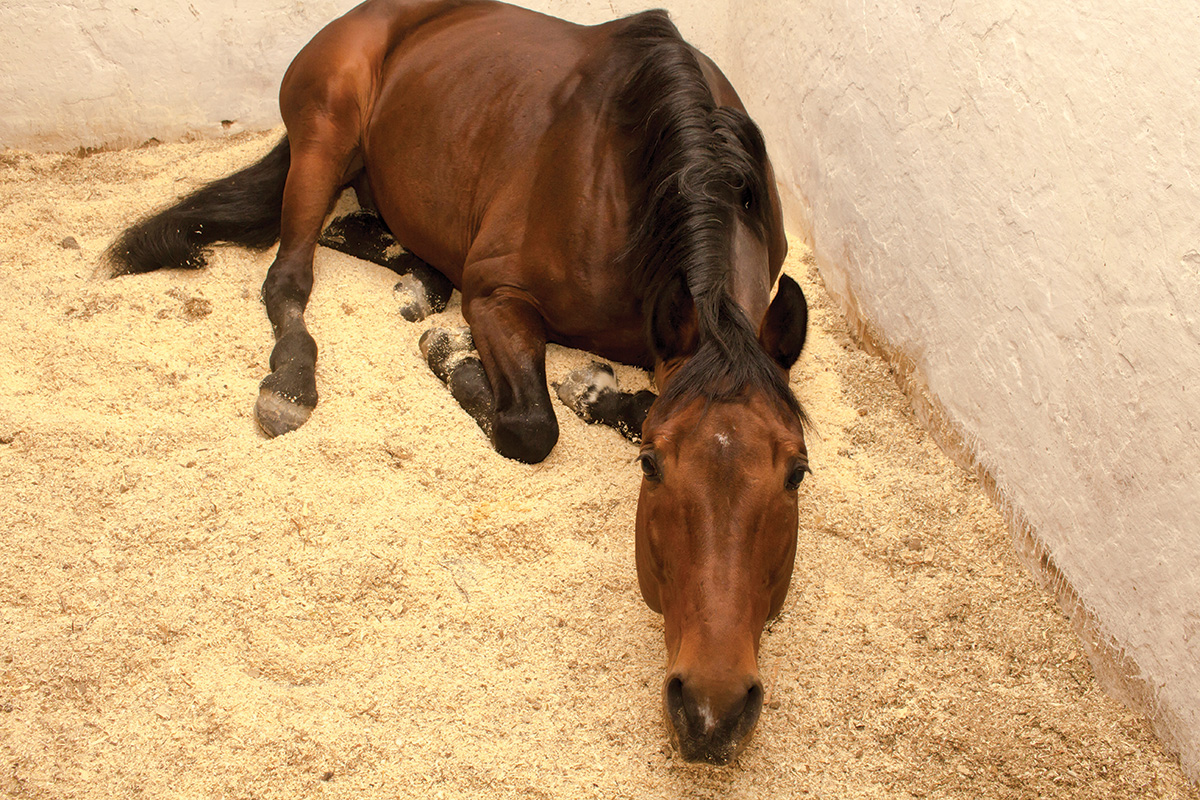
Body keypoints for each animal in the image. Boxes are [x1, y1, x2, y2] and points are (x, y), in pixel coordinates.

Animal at [108, 0, 811, 762]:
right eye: (651, 467)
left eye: (797, 473)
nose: (712, 709)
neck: (633, 189)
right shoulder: (497, 294)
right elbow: (530, 427)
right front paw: (461, 358)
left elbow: (636, 396)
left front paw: (592, 387)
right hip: (326, 137)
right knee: (289, 275)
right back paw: (292, 381)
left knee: (367, 233)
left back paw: (417, 280)